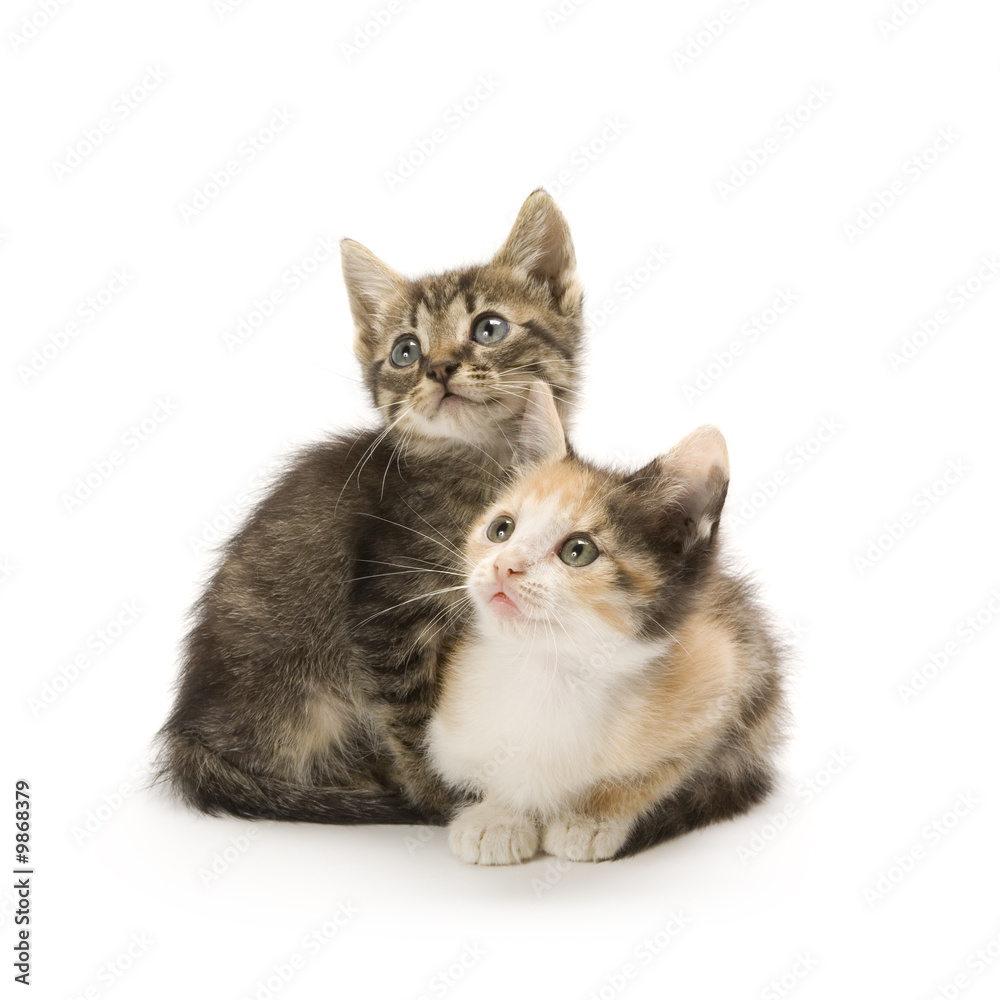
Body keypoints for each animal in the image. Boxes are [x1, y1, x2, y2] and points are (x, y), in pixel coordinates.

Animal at [156, 191, 584, 824]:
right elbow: (415, 719)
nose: (438, 367)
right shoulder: (387, 613)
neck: (477, 468)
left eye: (489, 328)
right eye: (406, 351)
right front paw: (444, 798)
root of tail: (188, 734)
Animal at [426, 386, 784, 864]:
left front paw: (589, 819)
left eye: (578, 551)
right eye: (501, 529)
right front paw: (499, 815)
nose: (503, 566)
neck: (549, 670)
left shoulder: (726, 674)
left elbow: (657, 773)